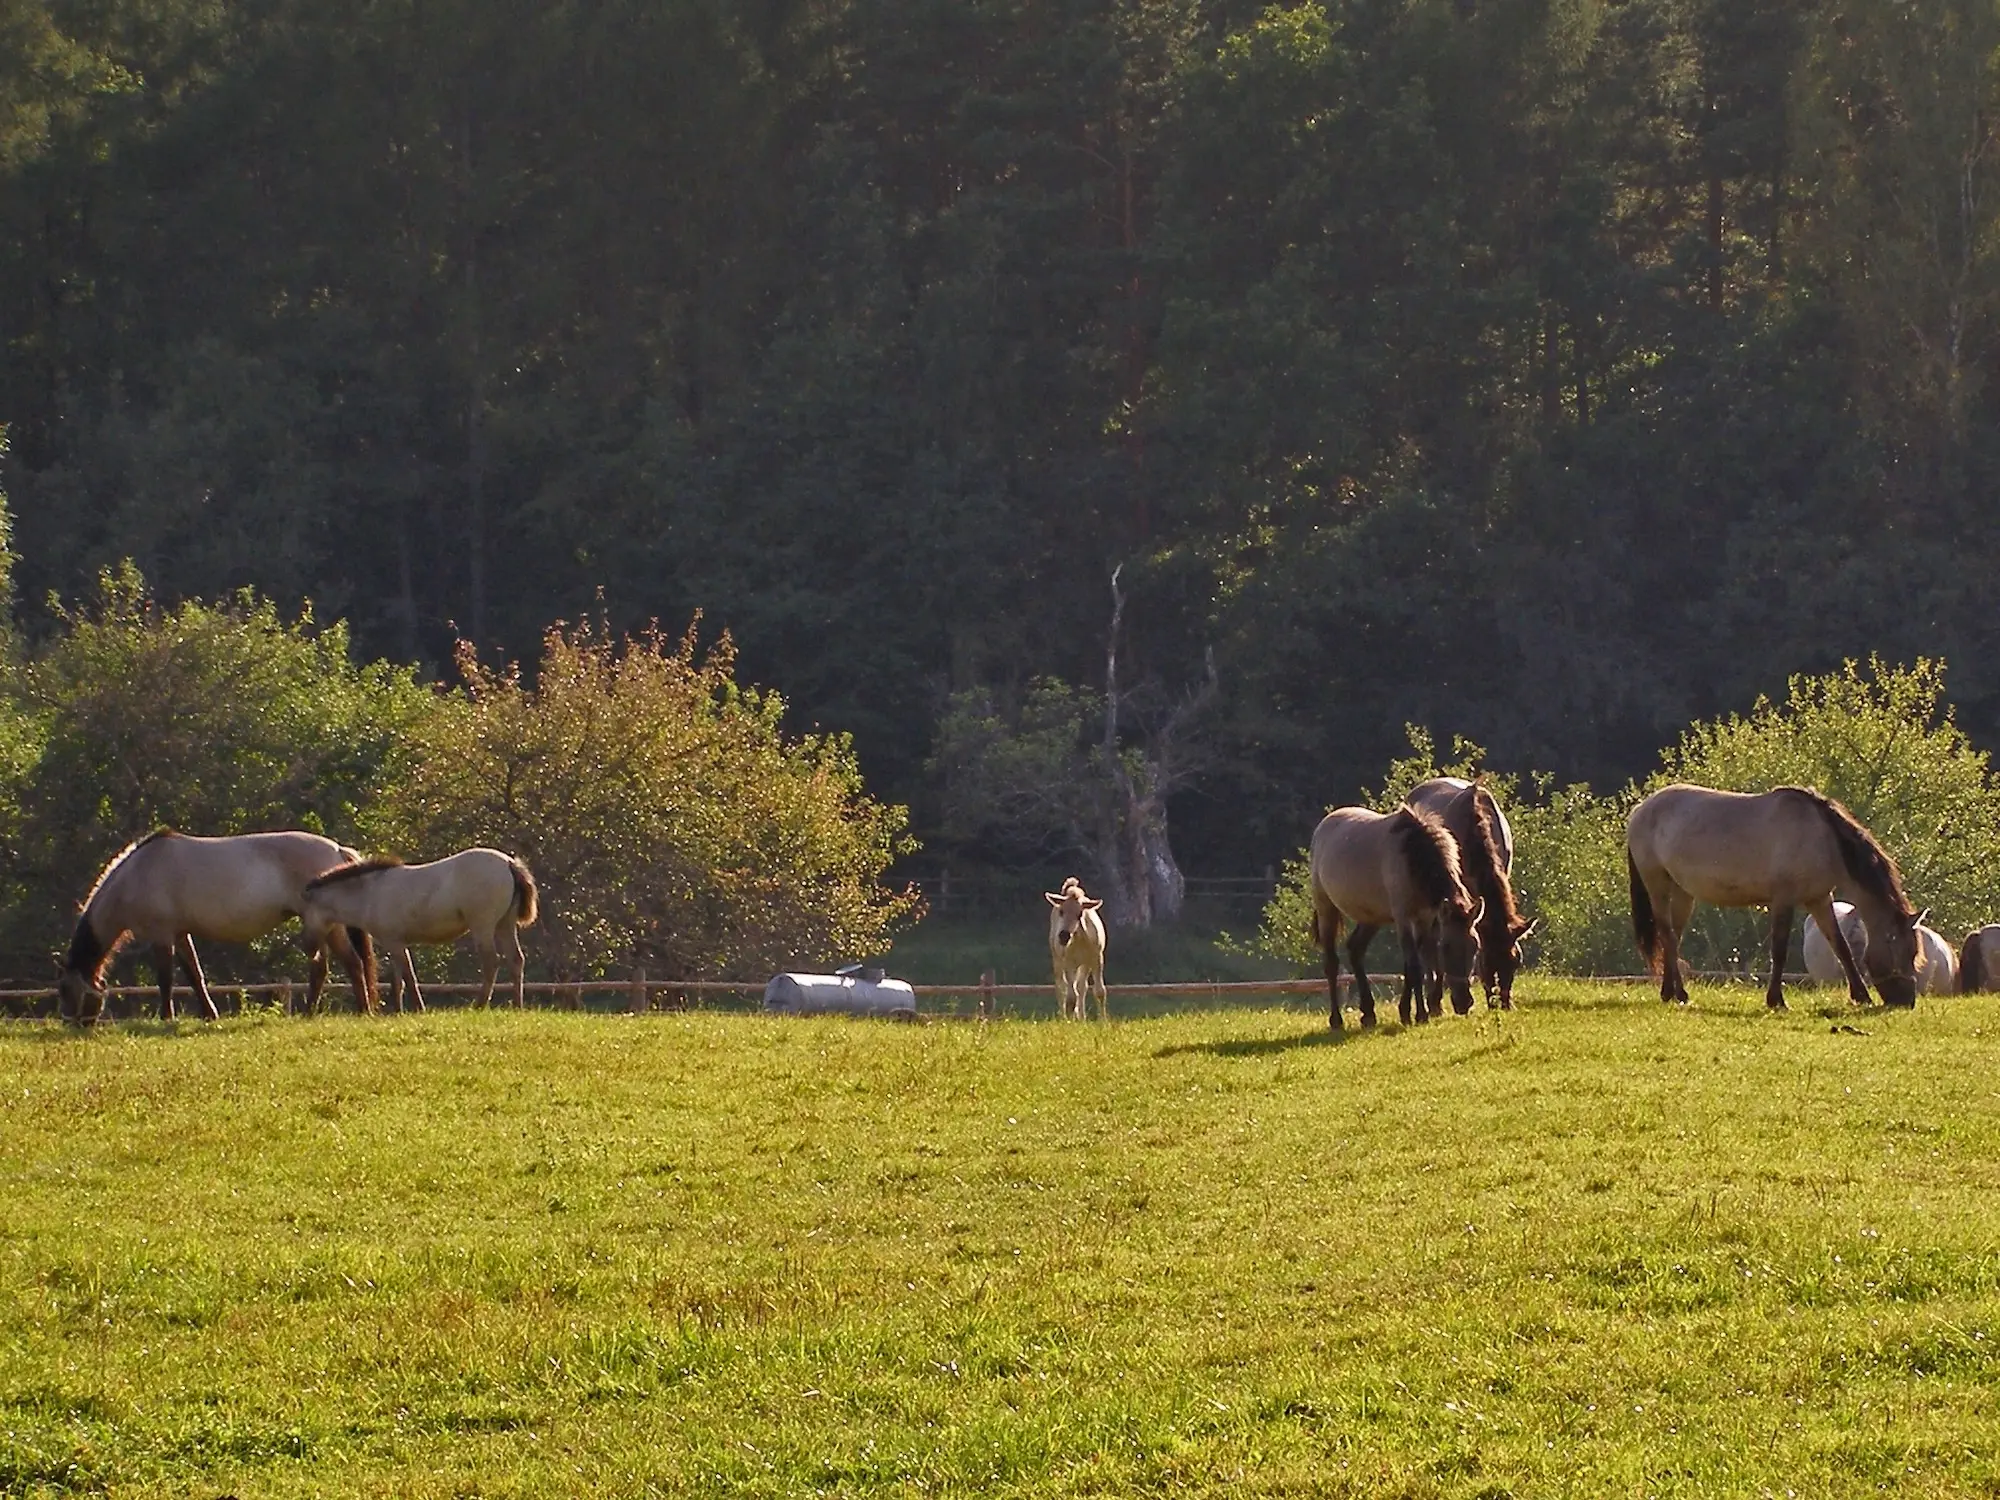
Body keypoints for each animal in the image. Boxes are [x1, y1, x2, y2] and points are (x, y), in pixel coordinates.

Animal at [57, 829, 378, 1024]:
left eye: (66, 991)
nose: (74, 1024)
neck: (138, 874)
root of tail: (336, 850)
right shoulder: (180, 934)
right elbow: (194, 975)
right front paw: (210, 1014)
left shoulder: (162, 936)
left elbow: (165, 979)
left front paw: (166, 1017)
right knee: (335, 966)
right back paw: (330, 1011)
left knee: (341, 964)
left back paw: (351, 1010)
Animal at [299, 848, 539, 1010]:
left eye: (305, 914)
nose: (308, 948)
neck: (370, 892)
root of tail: (509, 863)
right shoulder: (394, 943)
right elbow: (397, 980)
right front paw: (398, 1011)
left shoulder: (396, 943)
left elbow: (408, 975)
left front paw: (418, 1008)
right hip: (505, 925)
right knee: (516, 960)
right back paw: (517, 1005)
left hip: (483, 926)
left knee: (491, 962)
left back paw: (478, 1005)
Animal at [1045, 877, 1108, 1020]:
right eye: (1061, 912)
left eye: (1080, 913)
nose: (1063, 936)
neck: (1081, 940)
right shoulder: (1069, 962)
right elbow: (1071, 997)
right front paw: (1070, 1021)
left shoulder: (1096, 959)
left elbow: (1099, 991)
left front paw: (1103, 1021)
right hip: (1058, 960)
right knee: (1062, 988)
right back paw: (1064, 1016)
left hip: (1084, 965)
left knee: (1081, 987)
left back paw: (1082, 1017)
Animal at [1309, 804, 1483, 1030]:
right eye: (1446, 947)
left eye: (1475, 947)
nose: (1464, 1002)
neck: (1414, 855)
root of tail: (1323, 827)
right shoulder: (1403, 917)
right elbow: (1415, 967)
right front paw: (1420, 1014)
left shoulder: (1424, 918)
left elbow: (1413, 966)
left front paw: (1406, 1011)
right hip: (1326, 909)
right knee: (1331, 963)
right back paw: (1336, 1019)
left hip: (1371, 917)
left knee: (1355, 950)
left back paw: (1368, 1013)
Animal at [1626, 784, 1919, 1009]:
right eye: (1901, 953)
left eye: (1915, 953)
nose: (1907, 1002)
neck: (1823, 838)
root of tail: (1640, 810)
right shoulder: (1783, 900)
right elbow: (1779, 950)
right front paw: (1776, 1000)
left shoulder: (1819, 899)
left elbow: (1841, 947)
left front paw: (1861, 996)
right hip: (1657, 885)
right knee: (1666, 935)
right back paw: (1676, 993)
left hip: (1683, 893)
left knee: (1673, 939)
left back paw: (1673, 992)